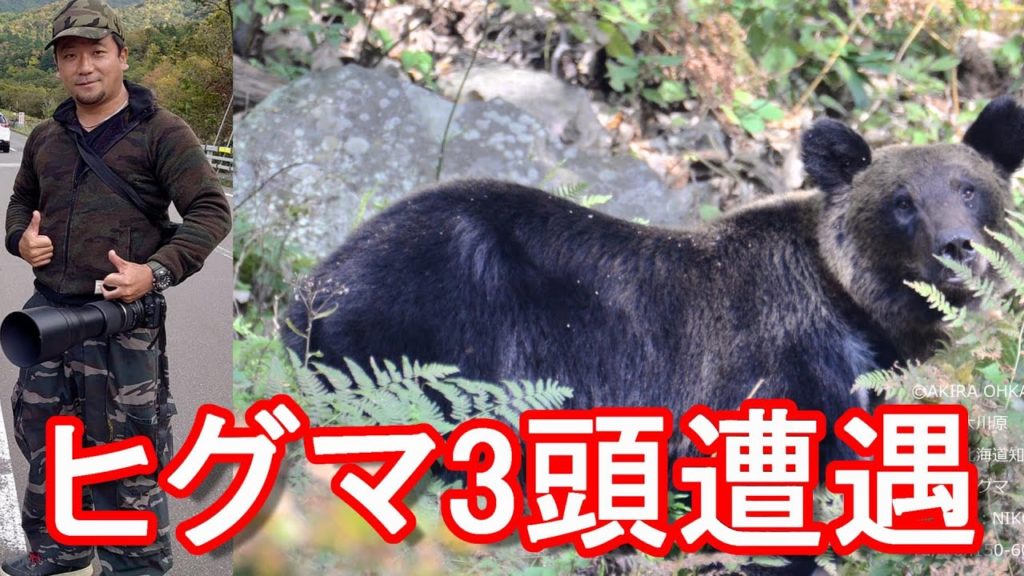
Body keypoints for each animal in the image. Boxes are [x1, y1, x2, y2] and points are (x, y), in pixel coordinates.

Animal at [285, 96, 1024, 468]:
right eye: (902, 201)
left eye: (968, 187)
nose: (957, 249)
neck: (861, 313)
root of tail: (316, 283)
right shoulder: (786, 365)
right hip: (443, 310)